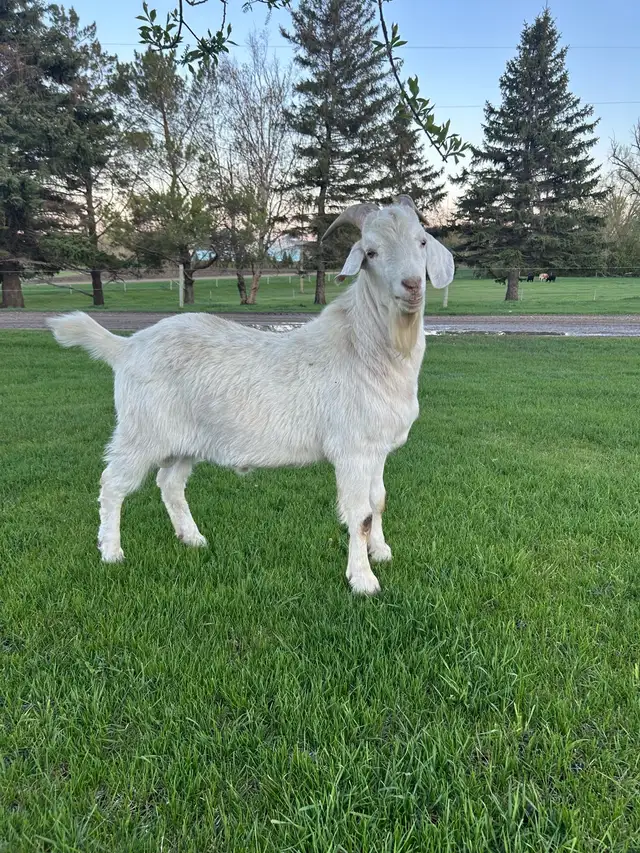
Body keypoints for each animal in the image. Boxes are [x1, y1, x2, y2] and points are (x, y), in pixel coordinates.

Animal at [47, 195, 454, 595]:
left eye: (421, 242)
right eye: (370, 252)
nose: (412, 285)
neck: (364, 346)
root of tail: (126, 346)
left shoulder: (377, 448)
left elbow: (379, 501)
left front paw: (381, 552)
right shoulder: (352, 449)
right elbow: (361, 514)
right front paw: (363, 580)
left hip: (183, 441)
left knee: (170, 484)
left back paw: (192, 538)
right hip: (141, 432)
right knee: (113, 483)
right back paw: (111, 552)